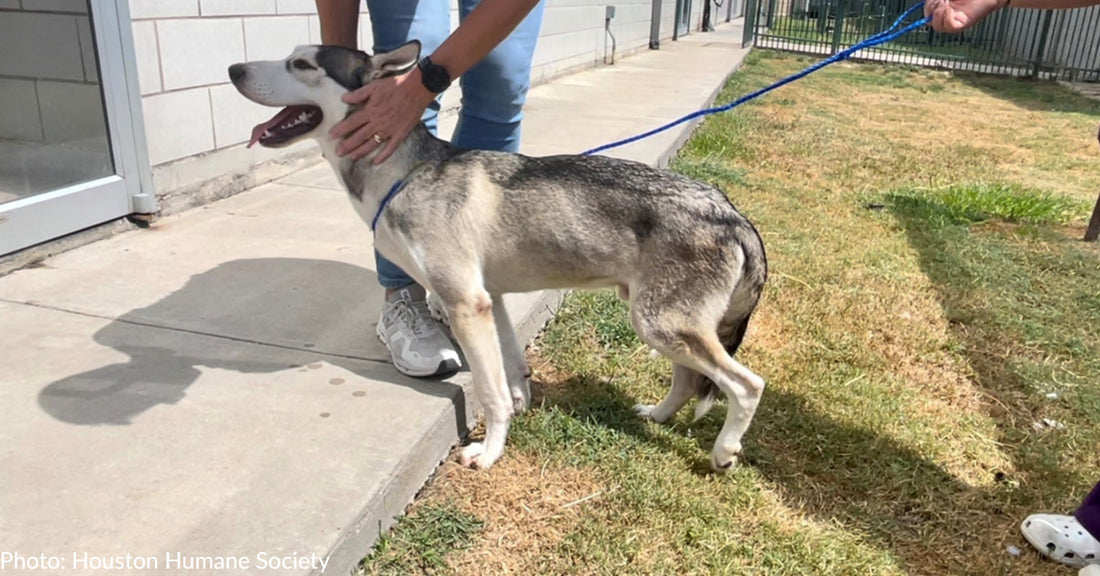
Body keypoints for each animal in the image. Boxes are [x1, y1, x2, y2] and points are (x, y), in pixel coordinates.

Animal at [228, 42, 770, 470]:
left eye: (301, 63)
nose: (232, 69)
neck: (404, 173)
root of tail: (731, 213)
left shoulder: (467, 306)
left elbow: (489, 391)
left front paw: (488, 453)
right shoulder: (495, 300)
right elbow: (512, 375)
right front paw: (517, 410)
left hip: (660, 324)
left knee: (745, 385)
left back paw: (724, 451)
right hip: (665, 324)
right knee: (689, 379)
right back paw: (655, 416)